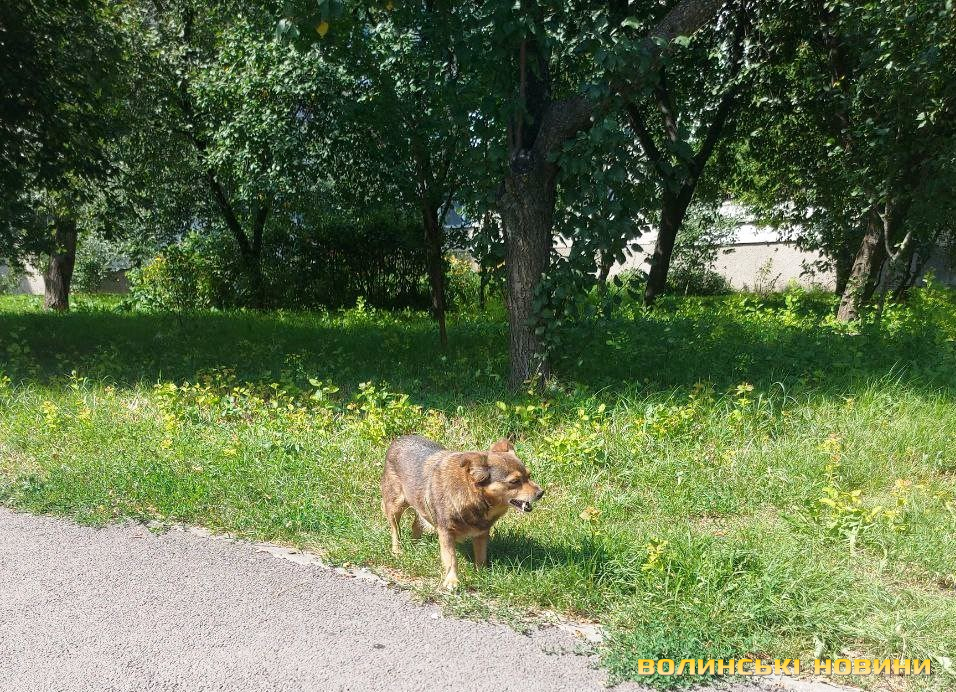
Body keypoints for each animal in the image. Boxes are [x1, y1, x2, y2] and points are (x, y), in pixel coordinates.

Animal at [381, 435, 544, 590]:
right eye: (514, 481)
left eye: (529, 476)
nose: (541, 493)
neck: (473, 496)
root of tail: (399, 439)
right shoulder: (446, 533)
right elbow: (451, 559)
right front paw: (452, 580)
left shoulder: (481, 534)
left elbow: (481, 556)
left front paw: (481, 574)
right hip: (396, 505)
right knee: (395, 530)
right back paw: (397, 550)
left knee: (415, 525)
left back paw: (416, 546)